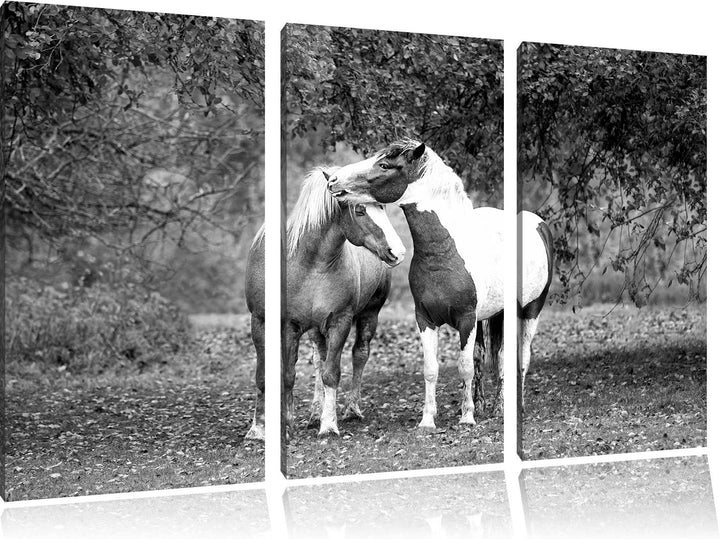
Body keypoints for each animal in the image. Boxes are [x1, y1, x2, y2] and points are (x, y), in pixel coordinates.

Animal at [244, 167, 406, 440]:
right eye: (360, 210)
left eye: (381, 207)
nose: (398, 252)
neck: (308, 263)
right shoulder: (281, 324)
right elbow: (279, 376)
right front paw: (265, 428)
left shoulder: (340, 321)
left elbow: (332, 374)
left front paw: (329, 425)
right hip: (314, 329)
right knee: (318, 360)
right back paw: (313, 414)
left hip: (369, 314)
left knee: (359, 354)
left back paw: (351, 409)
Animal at [326, 139, 553, 428]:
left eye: (385, 165)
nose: (333, 180)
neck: (445, 251)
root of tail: (539, 225)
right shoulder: (425, 319)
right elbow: (432, 369)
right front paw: (428, 420)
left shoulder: (467, 319)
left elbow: (464, 367)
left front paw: (467, 419)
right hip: (494, 315)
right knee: (492, 356)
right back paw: (492, 407)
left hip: (531, 310)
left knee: (520, 357)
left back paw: (513, 408)